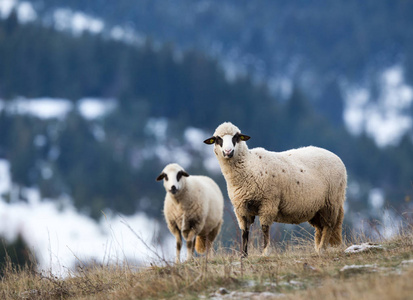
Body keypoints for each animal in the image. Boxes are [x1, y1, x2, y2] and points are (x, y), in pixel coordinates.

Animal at [204, 120, 346, 256]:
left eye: (236, 137)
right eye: (217, 139)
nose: (228, 152)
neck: (249, 166)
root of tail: (336, 157)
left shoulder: (268, 202)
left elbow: (265, 228)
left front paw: (266, 251)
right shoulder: (241, 208)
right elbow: (245, 231)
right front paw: (243, 255)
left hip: (331, 202)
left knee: (328, 226)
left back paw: (322, 249)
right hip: (316, 208)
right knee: (320, 228)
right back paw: (318, 248)